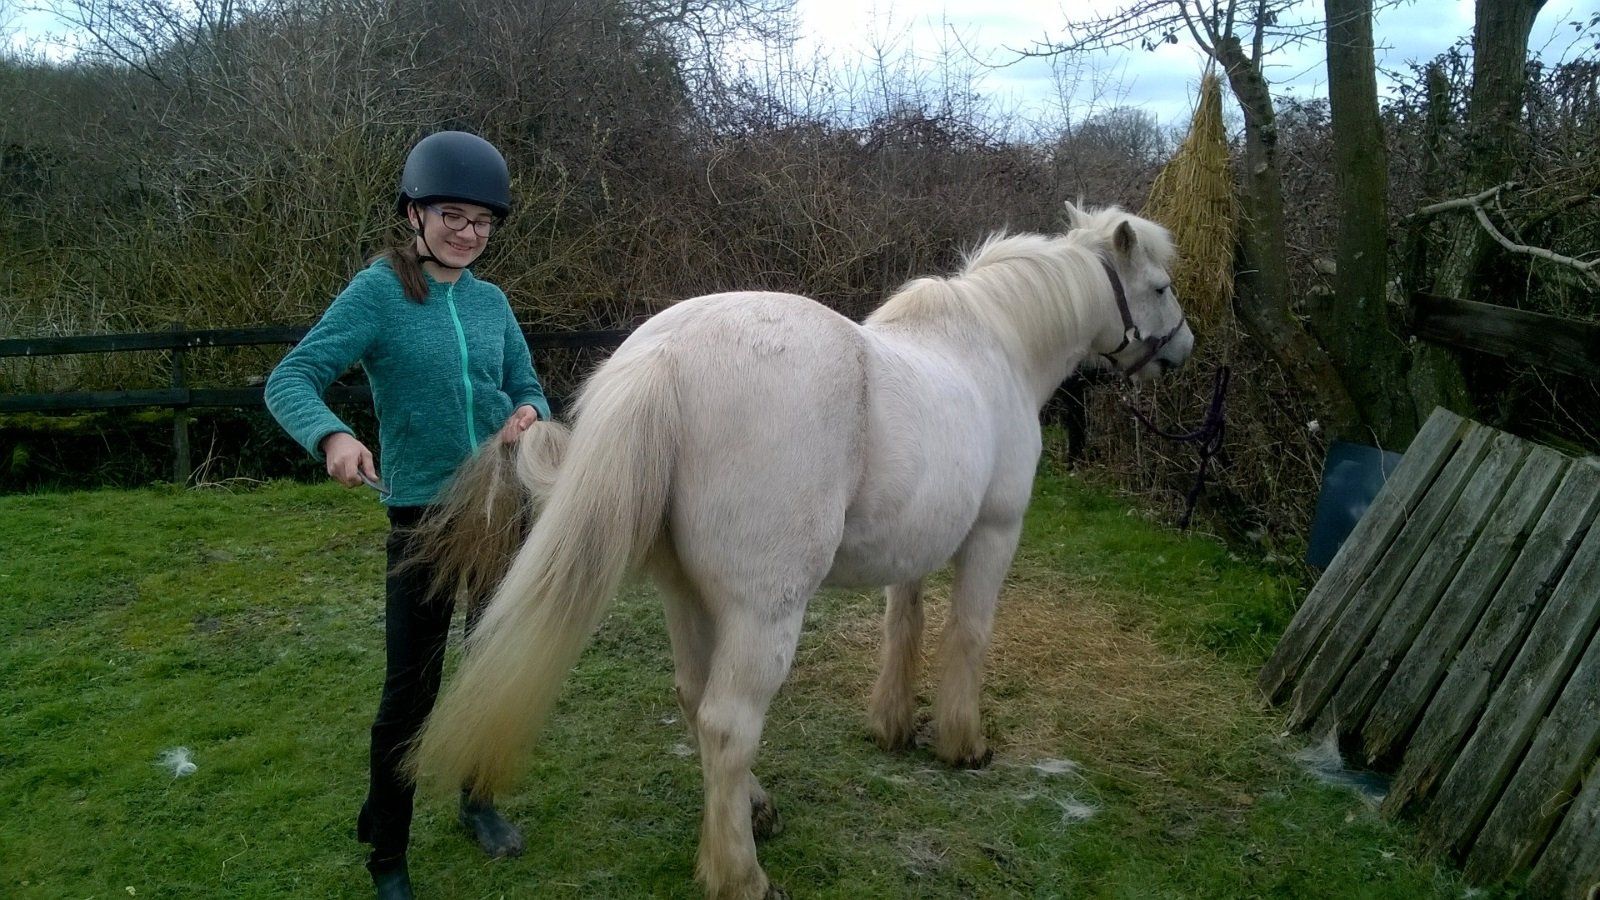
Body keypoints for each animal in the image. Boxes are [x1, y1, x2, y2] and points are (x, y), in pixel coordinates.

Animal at [406, 202, 1194, 899]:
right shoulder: (993, 536)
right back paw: (741, 876)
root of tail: (666, 357)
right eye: (1159, 287)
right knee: (728, 722)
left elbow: (903, 627)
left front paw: (893, 726)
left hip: (684, 594)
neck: (994, 348)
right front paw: (963, 744)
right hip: (764, 612)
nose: (1183, 347)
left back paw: (754, 809)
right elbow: (968, 636)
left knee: (695, 698)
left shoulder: (911, 551)